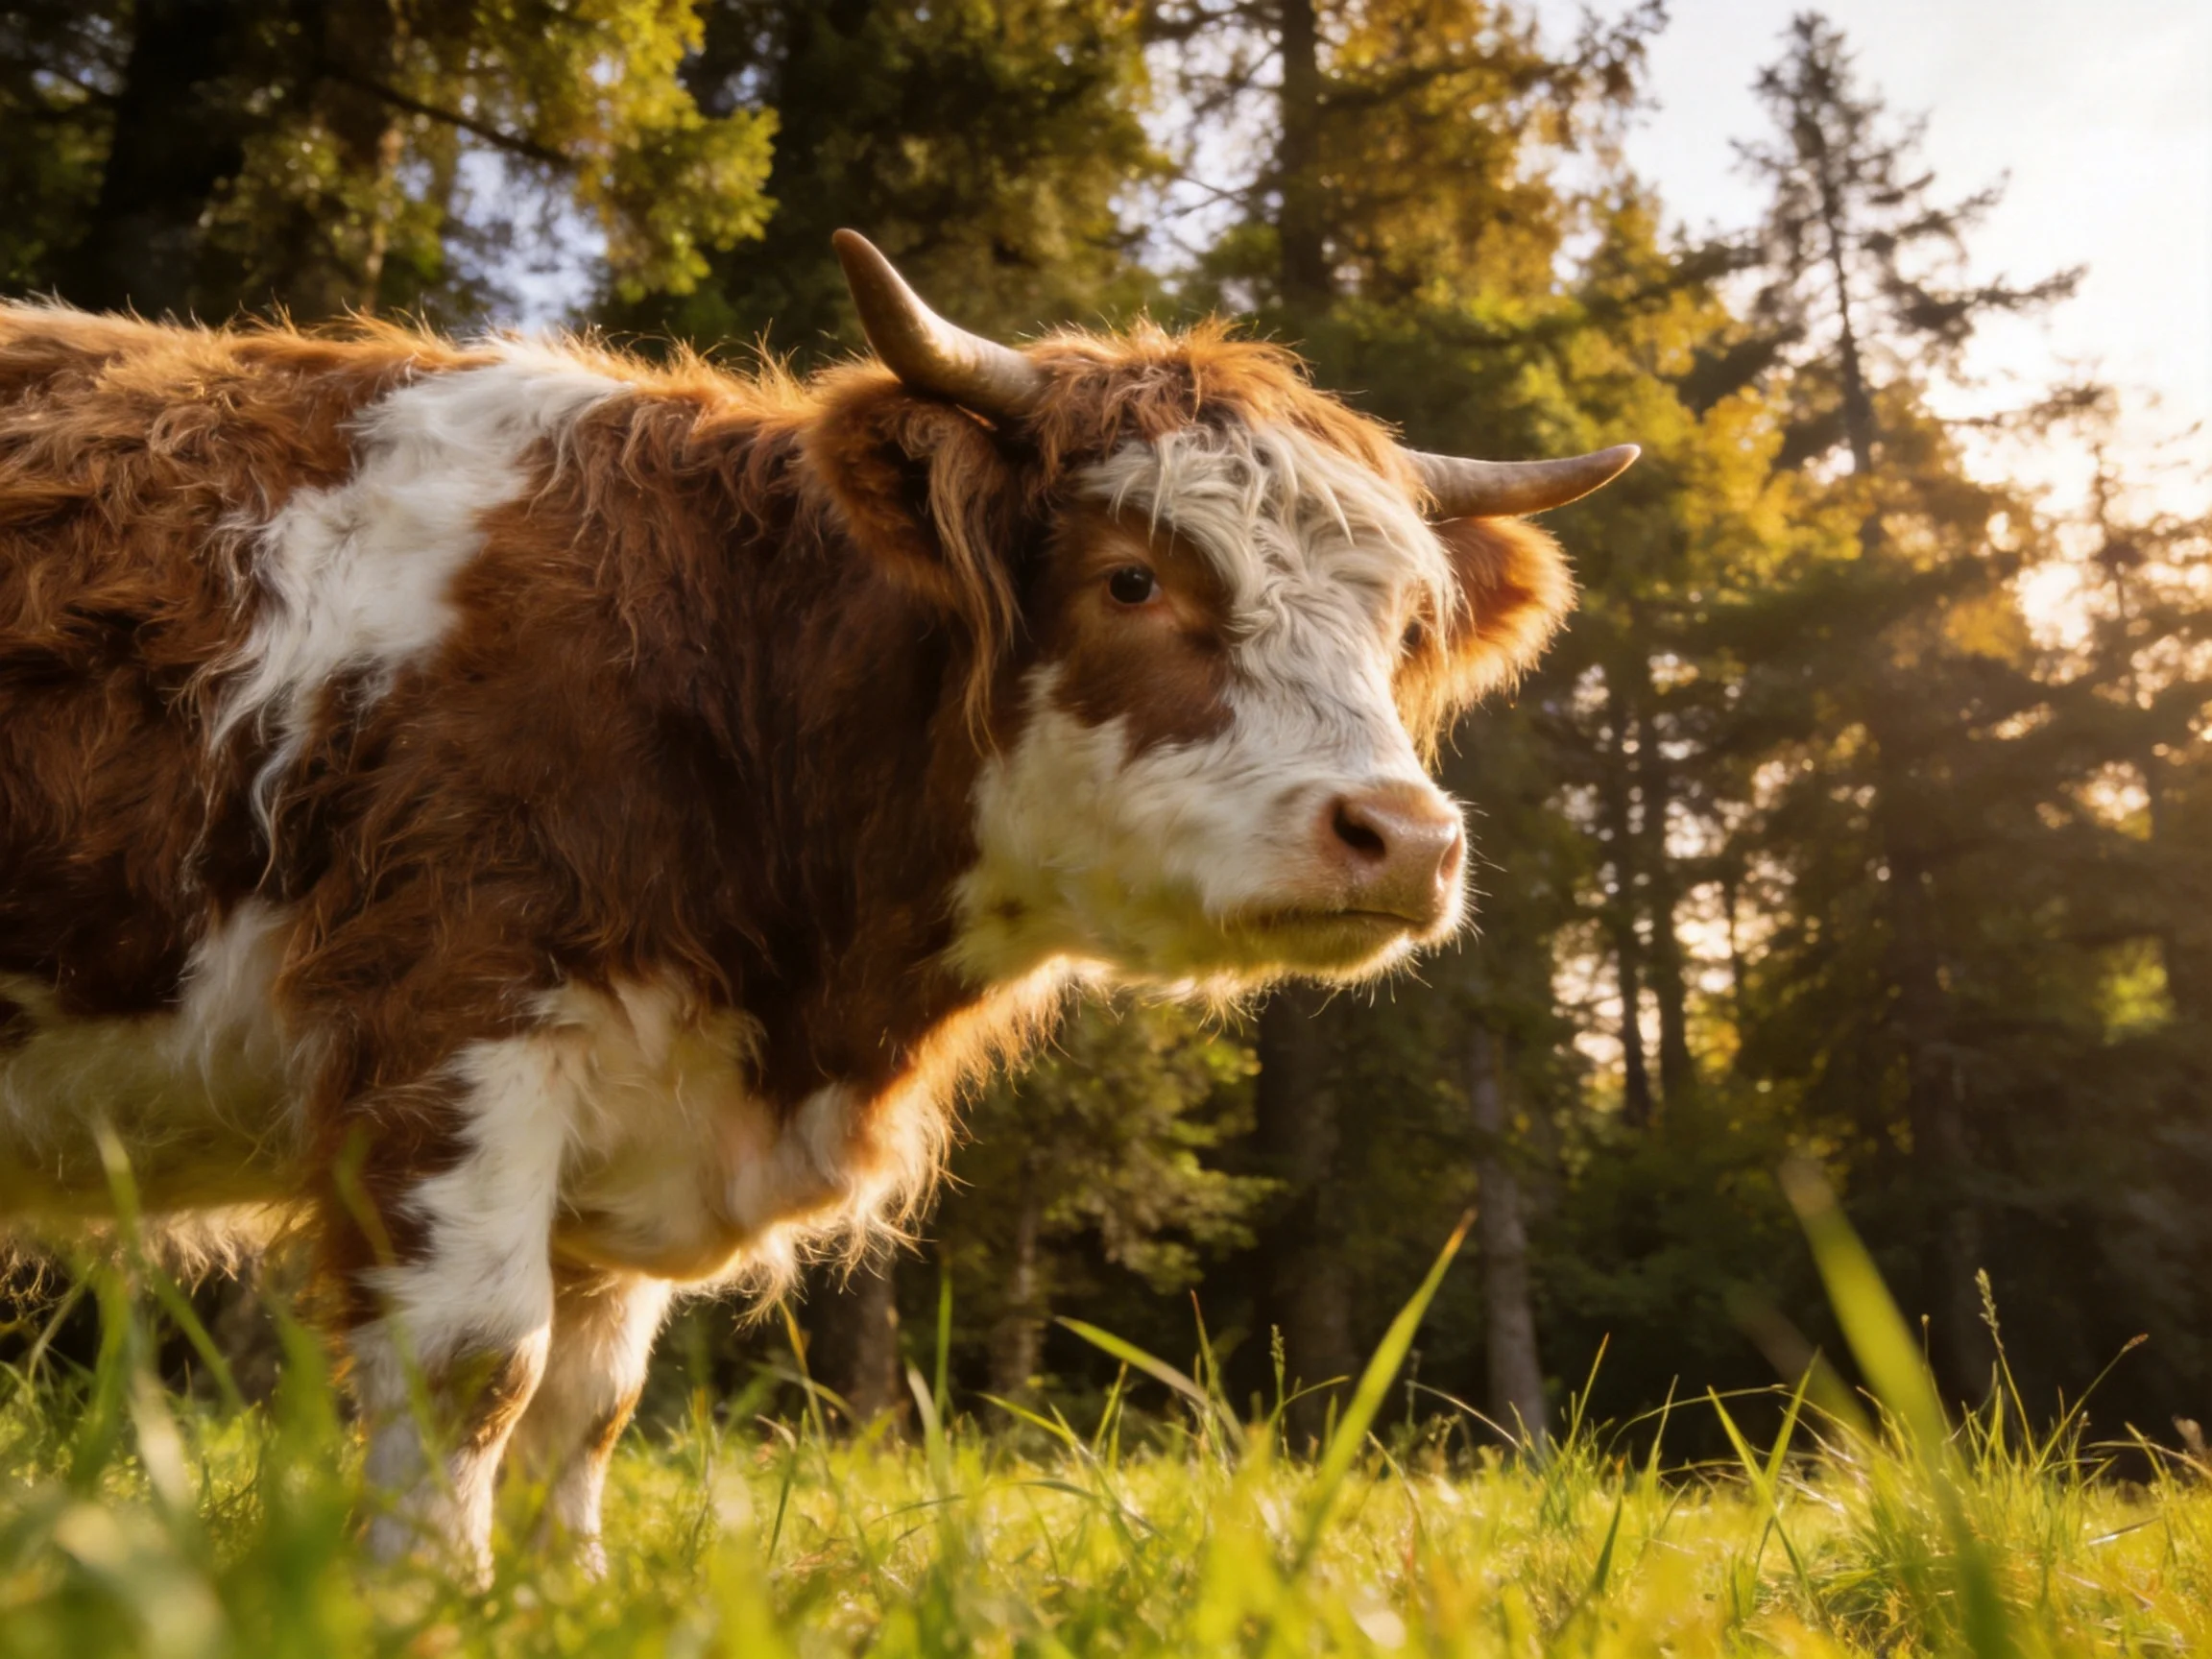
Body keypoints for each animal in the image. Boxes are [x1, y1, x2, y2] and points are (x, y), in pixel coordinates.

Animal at [0, 231, 1634, 1571]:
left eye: (1406, 622)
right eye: (1130, 579)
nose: (1404, 837)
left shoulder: (632, 1110)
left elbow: (587, 1406)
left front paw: (562, 1596)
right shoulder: (453, 1020)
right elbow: (478, 1365)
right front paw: (429, 1603)